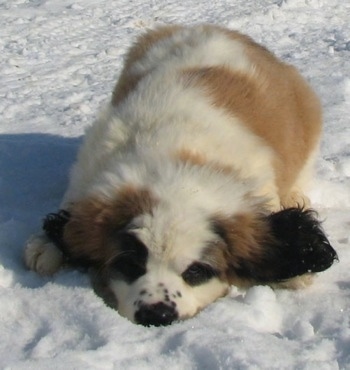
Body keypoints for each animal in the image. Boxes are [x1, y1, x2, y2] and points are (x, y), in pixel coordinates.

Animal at [23, 23, 338, 326]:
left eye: (197, 272)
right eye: (129, 265)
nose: (156, 314)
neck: (173, 160)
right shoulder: (90, 166)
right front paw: (47, 246)